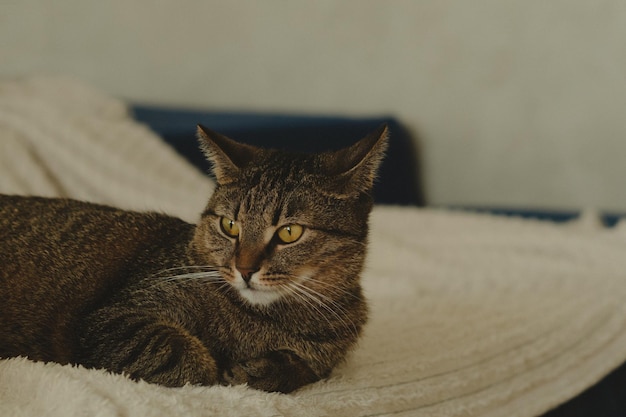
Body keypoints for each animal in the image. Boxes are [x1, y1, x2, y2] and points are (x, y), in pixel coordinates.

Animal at [0, 124, 386, 394]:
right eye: (230, 226)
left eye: (289, 232)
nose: (244, 269)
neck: (268, 320)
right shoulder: (113, 319)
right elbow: (186, 360)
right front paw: (225, 375)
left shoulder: (325, 358)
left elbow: (304, 368)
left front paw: (266, 370)